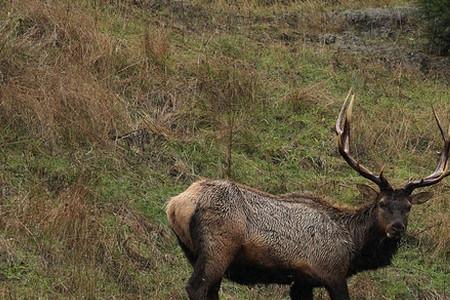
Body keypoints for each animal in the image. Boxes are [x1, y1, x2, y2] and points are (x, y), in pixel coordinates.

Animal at [166, 92, 450, 300]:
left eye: (409, 206)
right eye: (382, 203)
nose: (397, 228)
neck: (354, 247)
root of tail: (176, 204)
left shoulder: (302, 282)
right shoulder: (331, 272)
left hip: (194, 252)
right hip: (217, 248)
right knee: (196, 288)